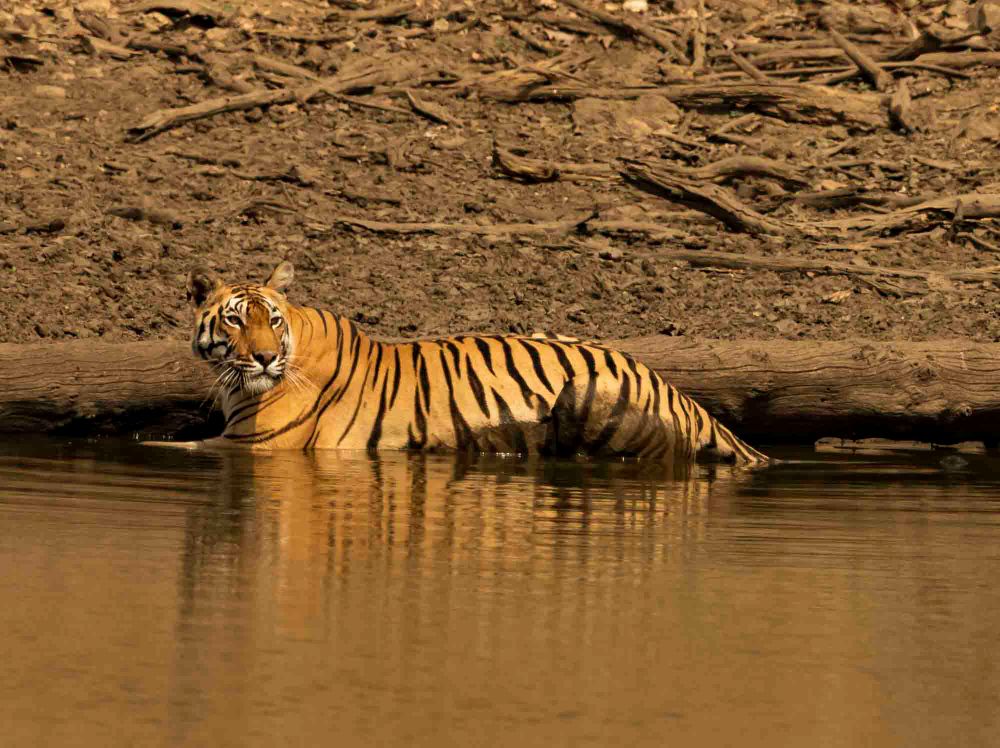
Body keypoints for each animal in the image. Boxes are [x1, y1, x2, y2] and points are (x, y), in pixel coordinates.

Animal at [152, 261, 768, 465]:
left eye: (271, 321)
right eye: (235, 321)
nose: (263, 358)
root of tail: (680, 393)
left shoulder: (257, 446)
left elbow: (169, 446)